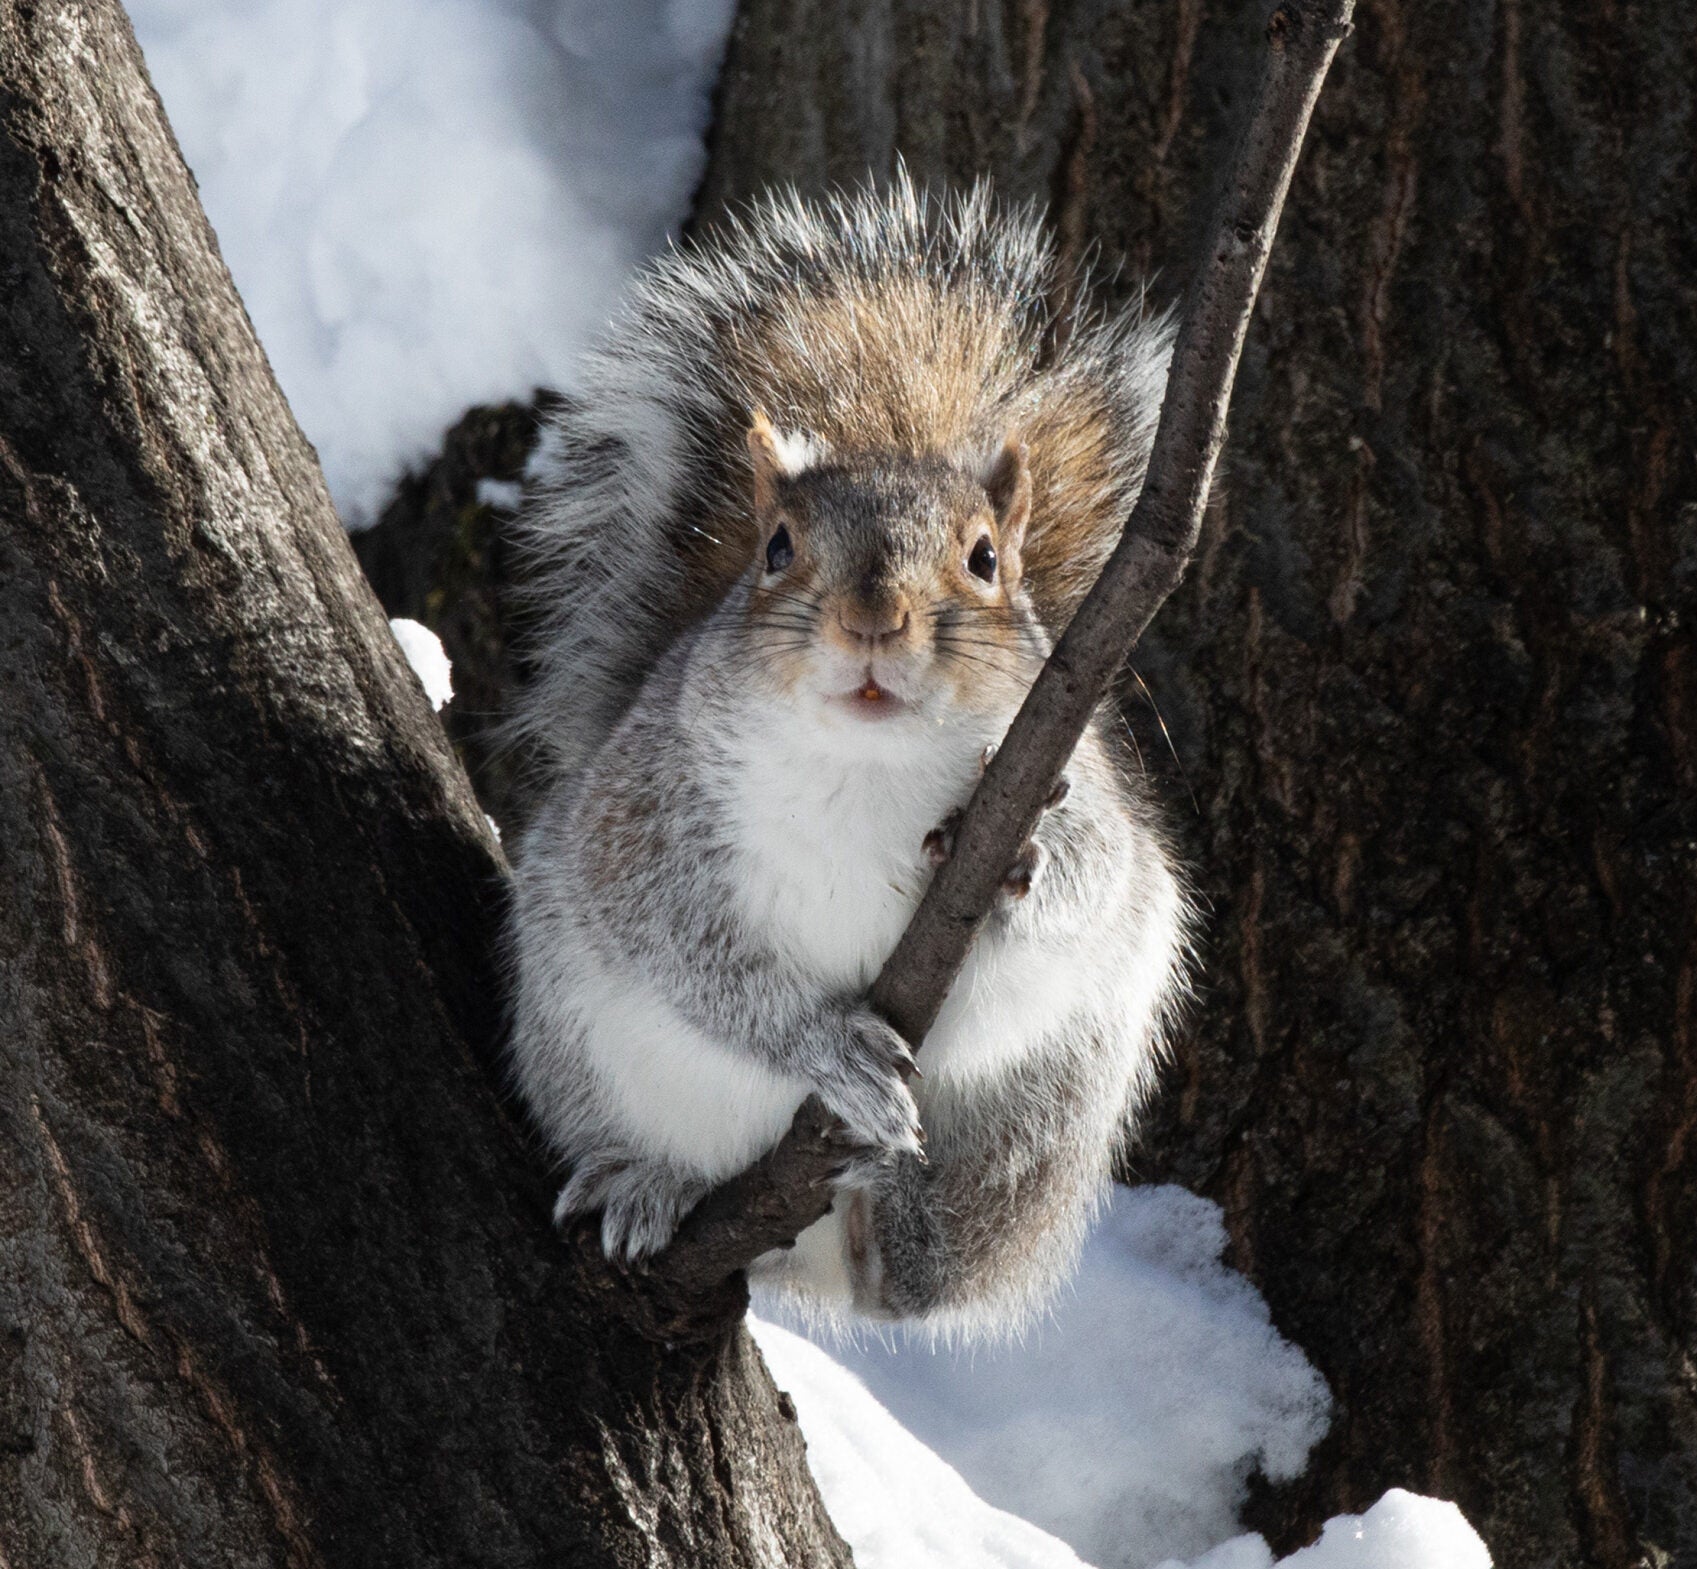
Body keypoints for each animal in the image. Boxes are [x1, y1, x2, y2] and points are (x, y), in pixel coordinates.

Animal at [505, 172, 1191, 1336]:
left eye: (986, 559)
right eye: (775, 548)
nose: (872, 621)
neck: (870, 765)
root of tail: (808, 1259)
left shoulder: (1083, 789)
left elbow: (1090, 876)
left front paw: (1020, 865)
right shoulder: (640, 820)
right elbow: (688, 950)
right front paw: (826, 1045)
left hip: (1047, 1106)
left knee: (917, 1290)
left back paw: (902, 1219)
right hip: (579, 1048)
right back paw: (650, 1182)